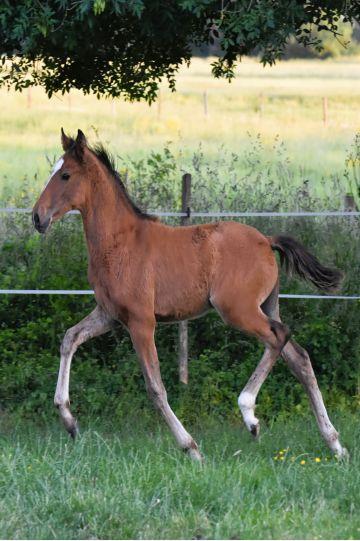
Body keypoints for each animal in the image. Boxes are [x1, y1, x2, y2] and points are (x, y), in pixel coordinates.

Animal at [32, 129, 348, 458]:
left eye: (65, 175)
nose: (37, 217)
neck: (118, 242)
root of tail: (266, 240)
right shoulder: (109, 315)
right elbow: (69, 338)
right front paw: (69, 422)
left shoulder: (141, 322)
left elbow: (155, 388)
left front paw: (191, 448)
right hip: (265, 307)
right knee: (299, 358)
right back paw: (335, 445)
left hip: (238, 311)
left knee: (279, 336)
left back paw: (250, 415)